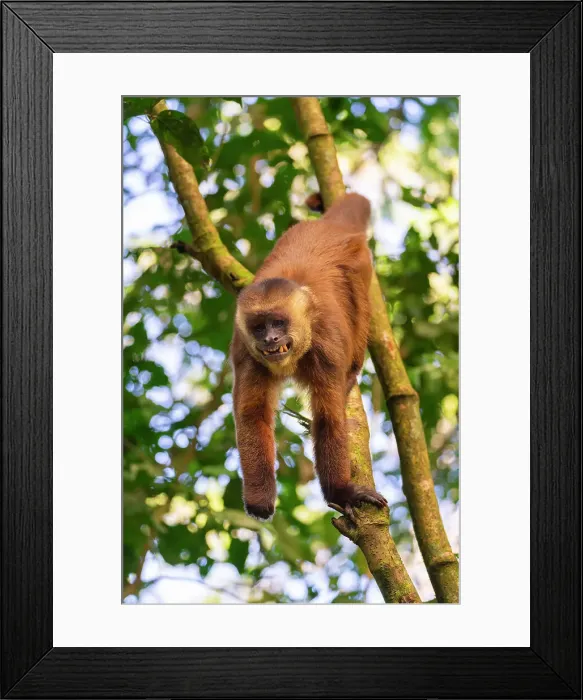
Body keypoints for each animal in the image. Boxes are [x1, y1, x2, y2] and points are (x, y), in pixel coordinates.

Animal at [230, 192, 388, 522]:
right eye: (260, 327)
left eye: (278, 323)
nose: (270, 339)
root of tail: (330, 227)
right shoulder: (246, 351)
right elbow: (252, 415)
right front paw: (259, 499)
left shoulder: (325, 348)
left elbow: (328, 419)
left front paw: (340, 493)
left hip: (361, 264)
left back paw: (351, 375)